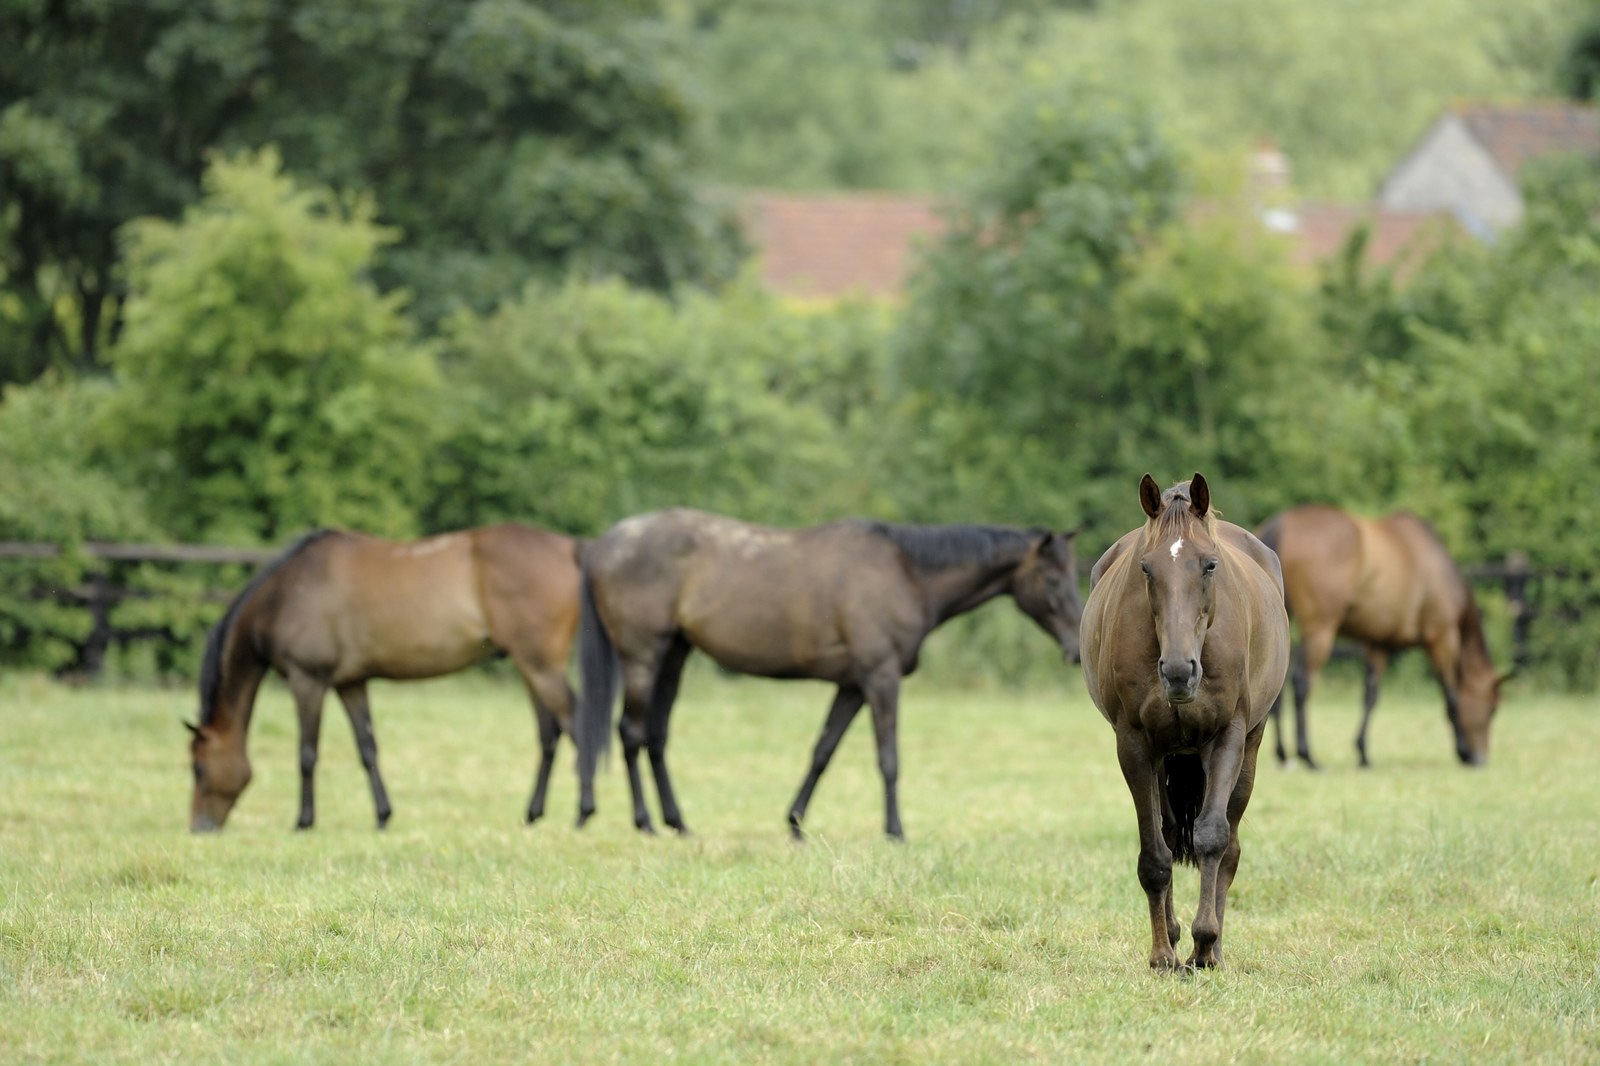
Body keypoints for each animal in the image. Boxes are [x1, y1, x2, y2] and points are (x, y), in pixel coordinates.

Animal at [186, 524, 581, 832]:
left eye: (199, 768)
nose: (199, 828)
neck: (286, 594)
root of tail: (570, 550)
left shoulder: (307, 681)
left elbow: (307, 754)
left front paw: (304, 821)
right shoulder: (350, 683)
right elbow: (367, 748)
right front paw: (382, 815)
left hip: (540, 665)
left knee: (576, 724)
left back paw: (584, 813)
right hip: (531, 666)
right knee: (550, 734)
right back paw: (534, 813)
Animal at [572, 508, 1084, 840]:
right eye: (1053, 580)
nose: (1079, 648)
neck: (907, 573)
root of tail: (601, 546)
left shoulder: (852, 685)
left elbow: (823, 751)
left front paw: (795, 823)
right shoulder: (880, 679)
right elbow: (888, 758)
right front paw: (895, 830)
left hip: (674, 655)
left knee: (656, 737)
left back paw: (677, 822)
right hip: (643, 656)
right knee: (632, 732)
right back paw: (645, 823)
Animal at [1080, 474, 1288, 971]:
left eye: (1210, 565)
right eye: (1146, 568)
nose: (1178, 671)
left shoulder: (1228, 736)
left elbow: (1212, 837)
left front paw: (1205, 945)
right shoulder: (1135, 745)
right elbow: (1156, 853)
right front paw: (1163, 954)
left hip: (1251, 748)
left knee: (1229, 845)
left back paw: (1214, 949)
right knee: (1172, 831)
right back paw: (1175, 939)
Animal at [1256, 504, 1511, 769]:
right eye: (1492, 709)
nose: (1480, 758)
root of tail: (1282, 524)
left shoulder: (1378, 644)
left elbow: (1370, 697)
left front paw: (1363, 753)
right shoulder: (1441, 639)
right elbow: (1450, 695)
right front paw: (1462, 750)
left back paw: (1283, 754)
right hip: (1320, 631)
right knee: (1302, 683)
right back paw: (1307, 755)